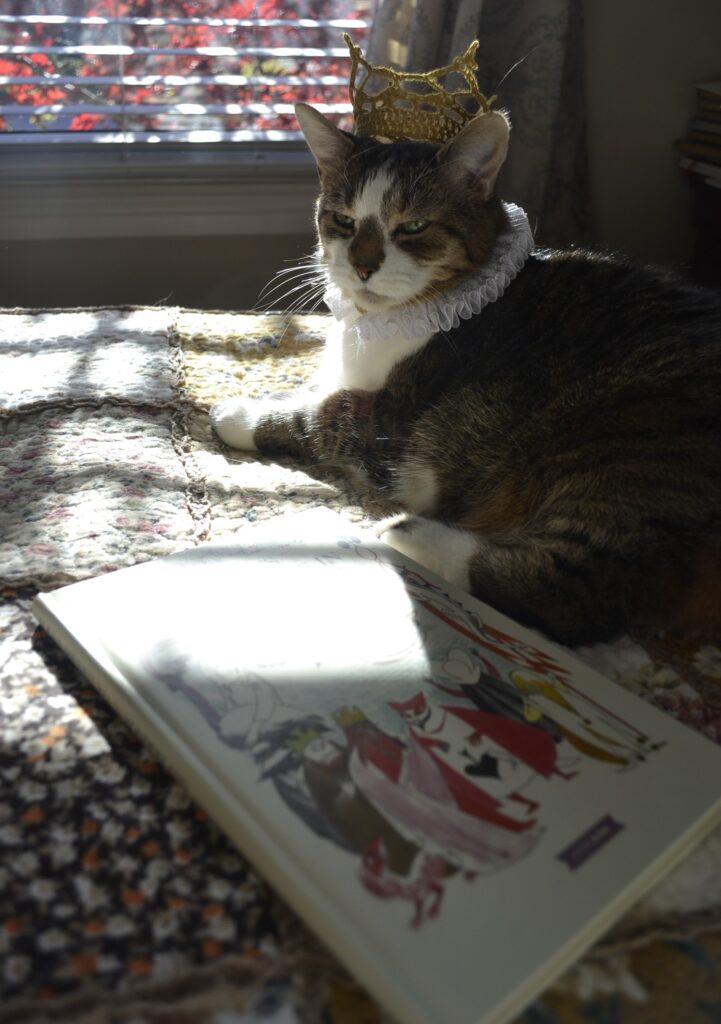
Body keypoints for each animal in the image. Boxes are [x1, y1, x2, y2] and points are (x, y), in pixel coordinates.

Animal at [210, 99, 721, 643]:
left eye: (413, 227)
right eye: (344, 221)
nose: (362, 267)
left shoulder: (394, 426)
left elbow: (322, 413)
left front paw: (239, 413)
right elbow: (314, 389)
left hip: (627, 445)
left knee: (572, 591)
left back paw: (408, 533)